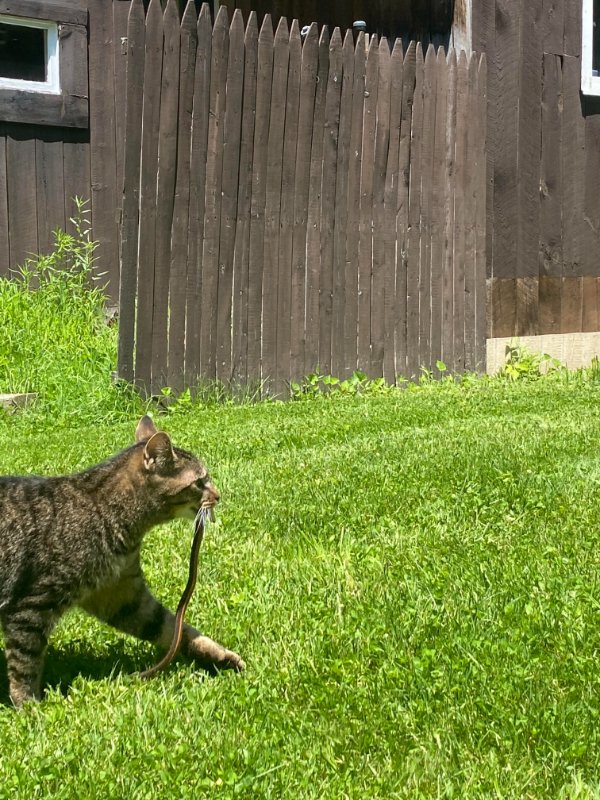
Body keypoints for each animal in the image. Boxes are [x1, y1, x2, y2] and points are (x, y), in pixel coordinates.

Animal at [0, 418, 244, 708]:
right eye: (200, 481)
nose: (218, 495)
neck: (109, 514)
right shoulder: (32, 606)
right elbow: (25, 661)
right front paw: (28, 705)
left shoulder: (123, 596)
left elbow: (176, 629)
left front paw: (220, 656)